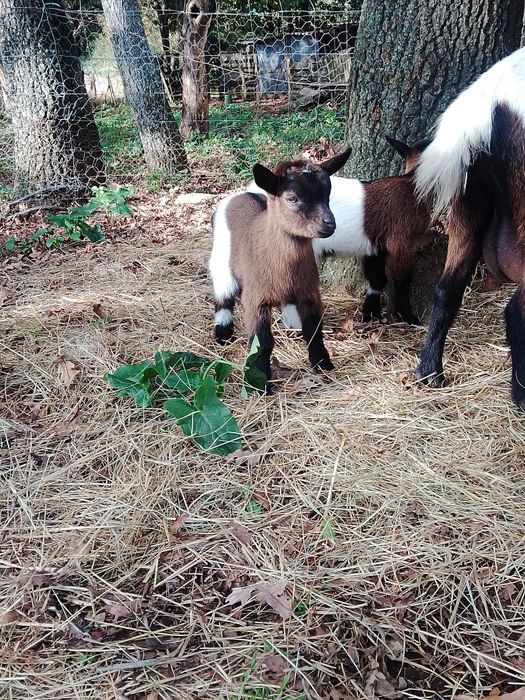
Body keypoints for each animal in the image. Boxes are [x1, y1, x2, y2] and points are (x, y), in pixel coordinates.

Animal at [208, 148, 351, 386]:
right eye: (292, 198)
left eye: (327, 194)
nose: (329, 224)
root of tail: (238, 195)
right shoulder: (256, 299)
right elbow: (262, 343)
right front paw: (259, 381)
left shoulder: (310, 292)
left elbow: (314, 331)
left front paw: (324, 365)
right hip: (221, 263)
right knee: (223, 297)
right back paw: (223, 336)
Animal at [247, 138, 431, 329]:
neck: (413, 184)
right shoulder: (403, 242)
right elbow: (402, 280)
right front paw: (408, 317)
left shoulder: (375, 246)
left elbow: (376, 279)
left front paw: (370, 315)